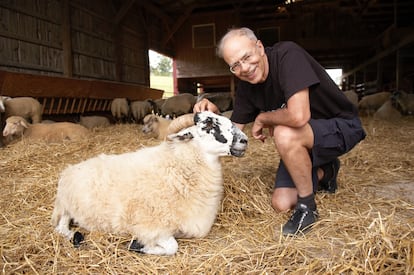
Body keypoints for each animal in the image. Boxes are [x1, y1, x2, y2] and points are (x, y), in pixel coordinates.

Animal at [50, 111, 247, 256]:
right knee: (60, 227)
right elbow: (172, 247)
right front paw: (138, 246)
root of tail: (69, 169)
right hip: (66, 206)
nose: (245, 140)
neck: (178, 169)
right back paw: (75, 236)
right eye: (208, 124)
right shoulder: (151, 227)